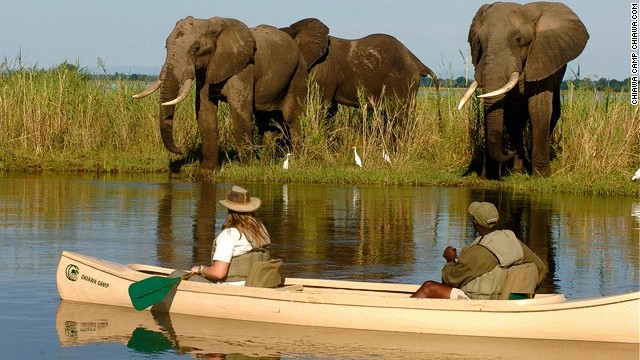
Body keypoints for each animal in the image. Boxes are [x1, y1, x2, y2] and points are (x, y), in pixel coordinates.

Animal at [132, 17, 308, 172]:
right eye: (166, 47)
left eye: (196, 48)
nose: (180, 151)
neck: (212, 25)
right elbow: (204, 111)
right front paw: (206, 171)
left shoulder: (244, 68)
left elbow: (239, 110)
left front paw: (247, 168)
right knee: (266, 119)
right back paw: (265, 163)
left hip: (299, 73)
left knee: (293, 117)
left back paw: (296, 161)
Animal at [458, 1, 588, 179]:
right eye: (480, 42)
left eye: (518, 40)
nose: (508, 151)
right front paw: (487, 176)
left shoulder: (542, 58)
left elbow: (538, 108)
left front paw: (541, 177)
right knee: (515, 121)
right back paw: (517, 171)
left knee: (552, 114)